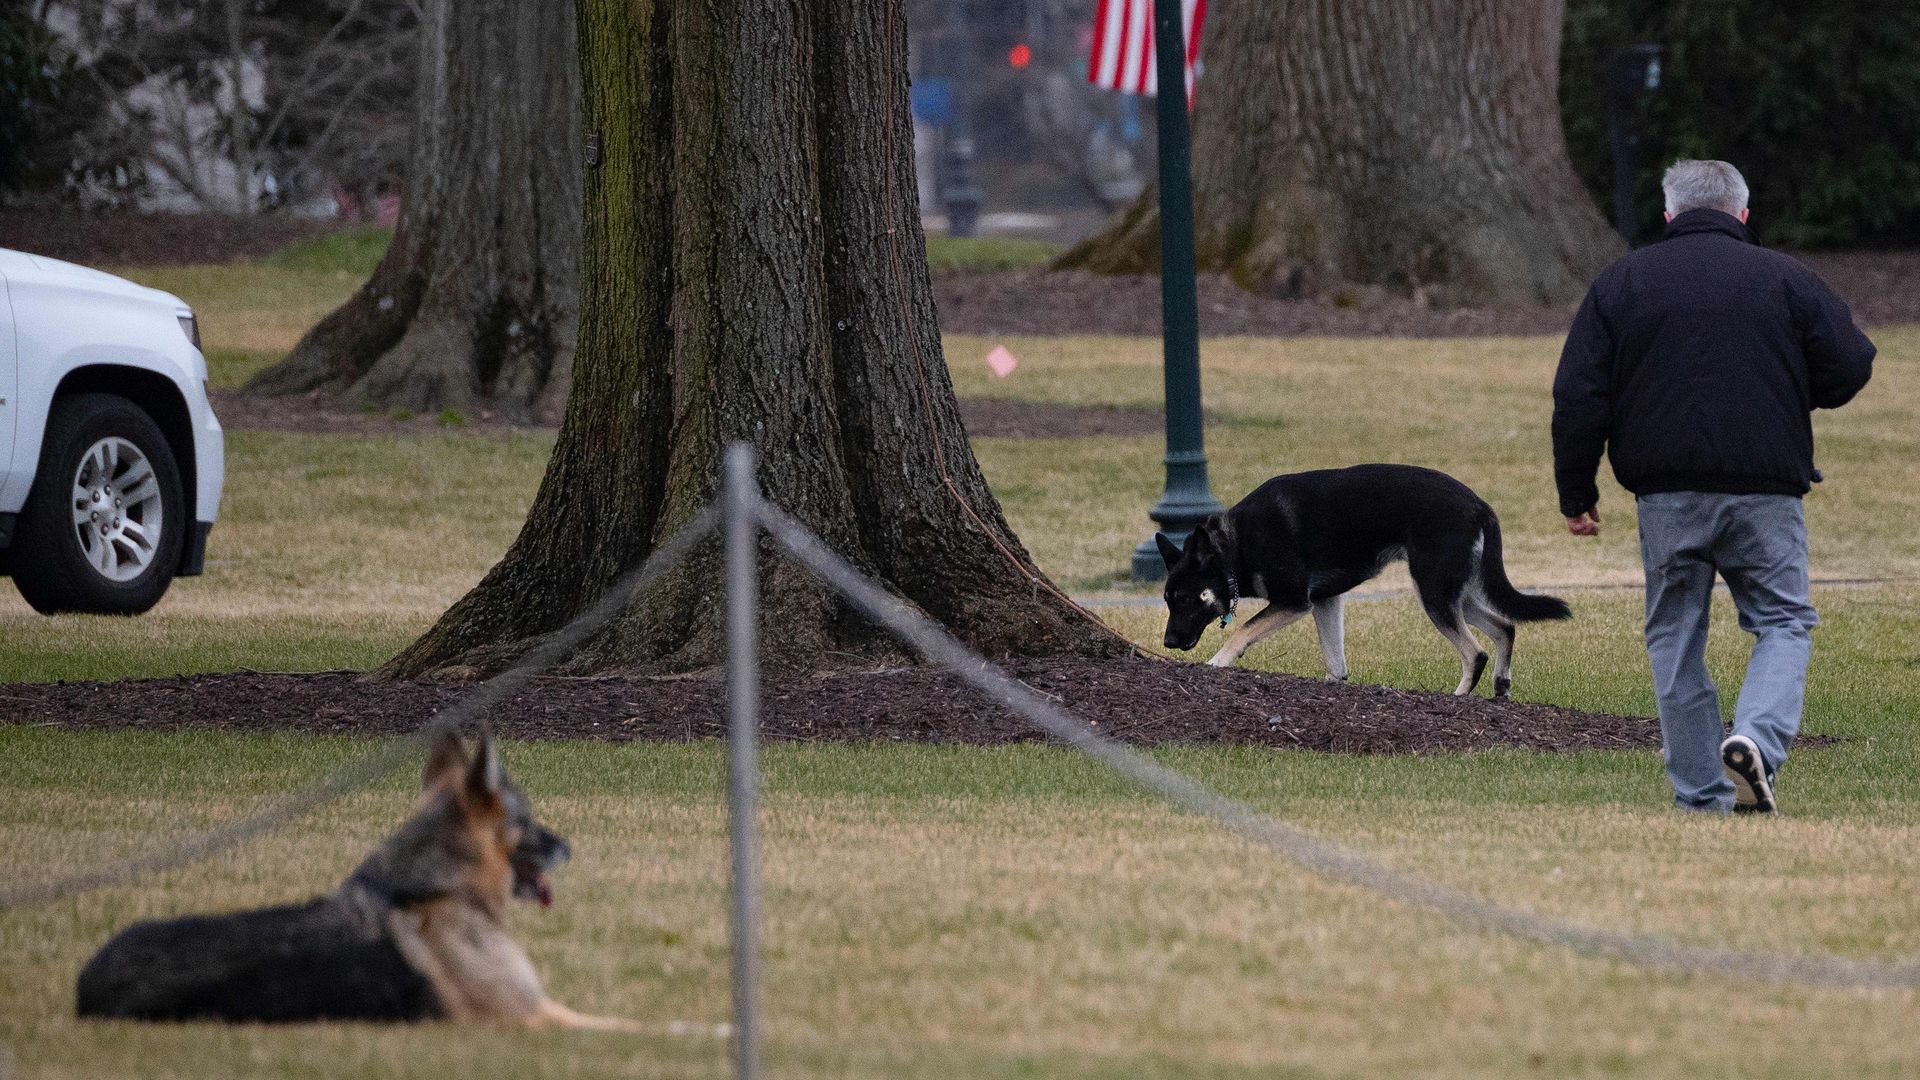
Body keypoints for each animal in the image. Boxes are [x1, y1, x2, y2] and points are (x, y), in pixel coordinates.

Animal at [1159, 463, 1566, 699]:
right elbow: (1335, 662)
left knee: (1475, 652)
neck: (1233, 545)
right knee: (1505, 627)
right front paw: (1332, 685)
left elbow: (1242, 631)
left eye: (1185, 598)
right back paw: (1501, 688)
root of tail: (1479, 504)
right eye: (1167, 599)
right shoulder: (1325, 600)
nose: (1168, 643)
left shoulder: (1293, 601)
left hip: (1434, 591)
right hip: (1454, 592)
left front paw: (1216, 664)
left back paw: (1459, 697)